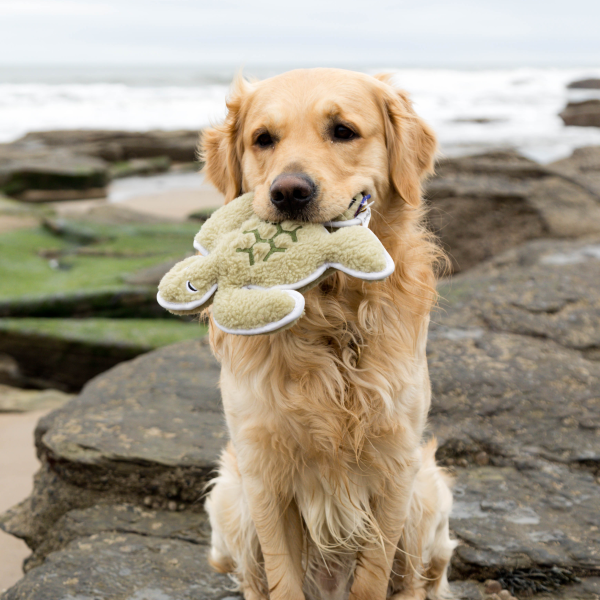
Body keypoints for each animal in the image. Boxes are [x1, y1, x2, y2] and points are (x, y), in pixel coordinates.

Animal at [202, 68, 454, 596]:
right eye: (263, 139)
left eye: (343, 130)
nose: (289, 192)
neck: (328, 313)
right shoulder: (263, 471)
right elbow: (282, 578)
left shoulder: (395, 465)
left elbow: (373, 576)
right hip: (230, 499)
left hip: (427, 492)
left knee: (419, 578)